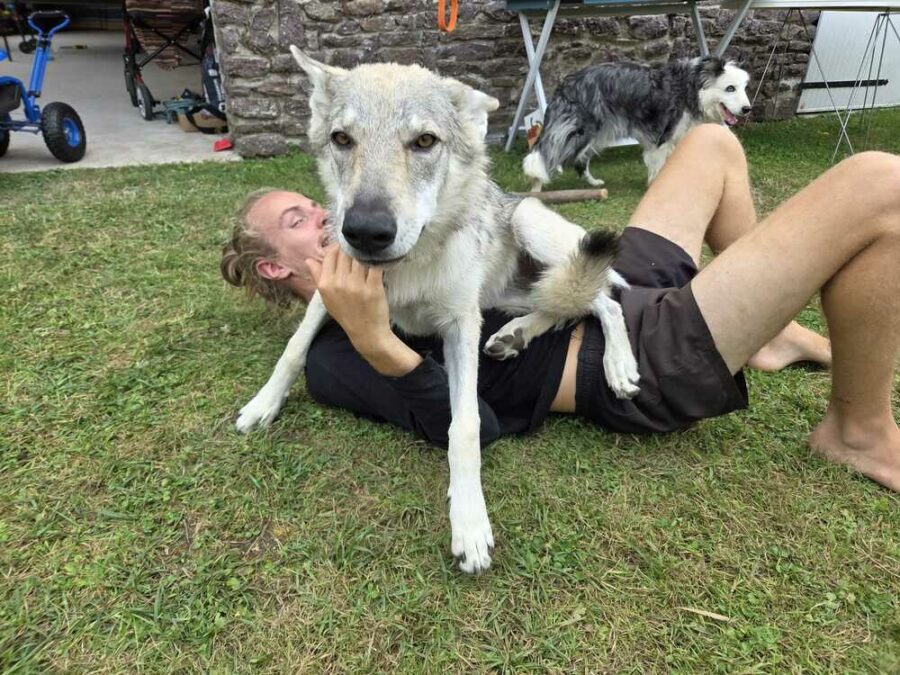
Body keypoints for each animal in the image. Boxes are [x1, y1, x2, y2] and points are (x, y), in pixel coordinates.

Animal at [235, 47, 640, 574]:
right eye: (342, 139)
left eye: (424, 141)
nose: (364, 231)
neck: (405, 273)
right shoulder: (330, 290)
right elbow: (293, 349)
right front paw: (263, 404)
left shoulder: (460, 324)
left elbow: (463, 426)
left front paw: (469, 523)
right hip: (508, 295)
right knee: (564, 307)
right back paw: (513, 336)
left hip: (534, 235)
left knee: (604, 300)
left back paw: (618, 365)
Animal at [523, 56, 752, 190]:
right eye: (730, 88)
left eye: (744, 88)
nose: (747, 109)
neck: (692, 89)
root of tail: (565, 84)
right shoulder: (661, 137)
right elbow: (658, 165)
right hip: (578, 132)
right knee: (546, 155)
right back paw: (536, 189)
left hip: (596, 135)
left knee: (580, 160)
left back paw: (593, 182)